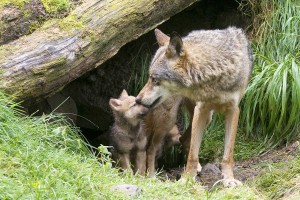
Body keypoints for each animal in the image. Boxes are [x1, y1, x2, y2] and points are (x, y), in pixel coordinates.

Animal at [137, 27, 253, 187]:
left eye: (154, 79)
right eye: (149, 77)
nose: (138, 99)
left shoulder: (233, 110)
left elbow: (228, 154)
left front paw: (229, 179)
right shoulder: (201, 109)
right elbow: (192, 155)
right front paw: (185, 180)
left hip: (207, 118)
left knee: (183, 140)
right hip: (168, 119)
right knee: (152, 148)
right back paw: (152, 177)